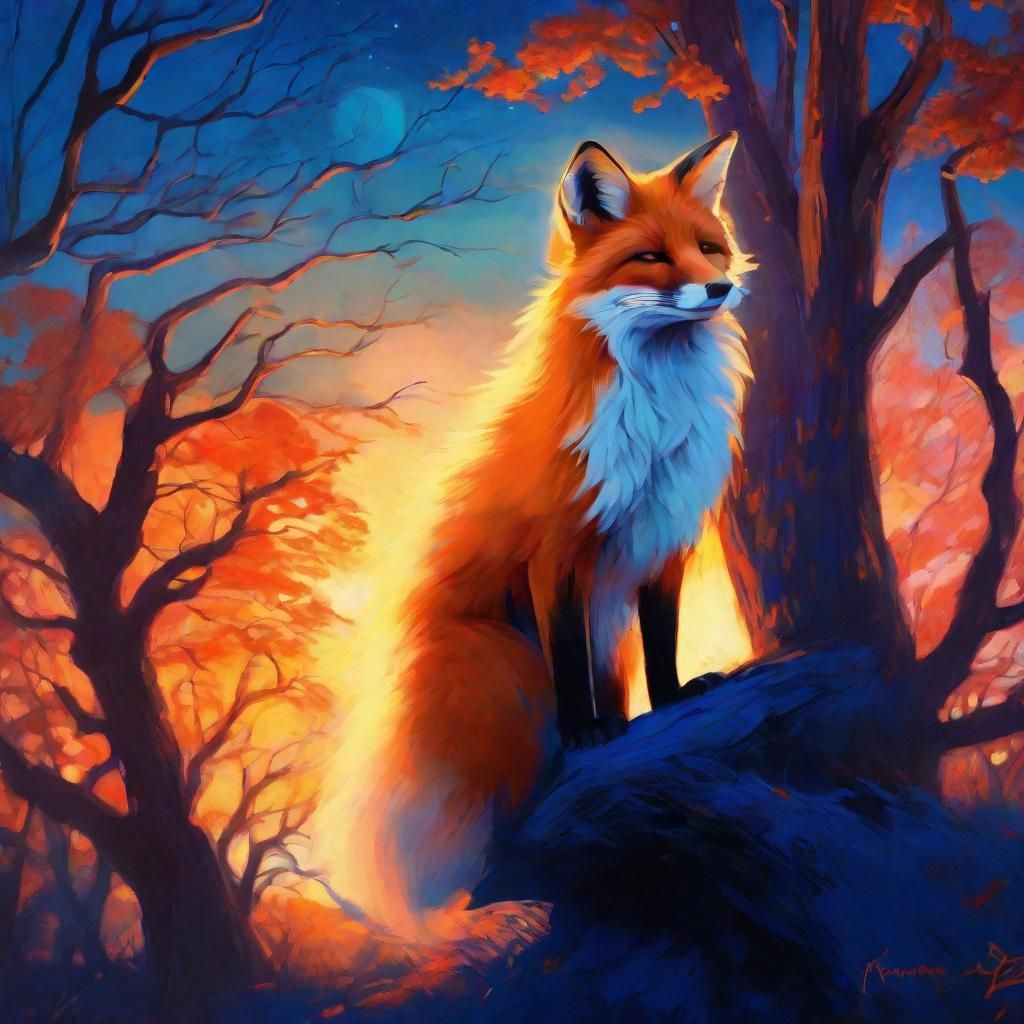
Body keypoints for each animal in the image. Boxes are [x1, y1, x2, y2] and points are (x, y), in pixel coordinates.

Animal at [335, 132, 752, 934]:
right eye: (651, 257)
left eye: (709, 250)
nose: (718, 289)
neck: (655, 415)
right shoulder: (556, 553)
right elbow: (566, 655)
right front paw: (586, 734)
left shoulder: (663, 541)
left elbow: (663, 640)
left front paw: (673, 701)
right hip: (507, 662)